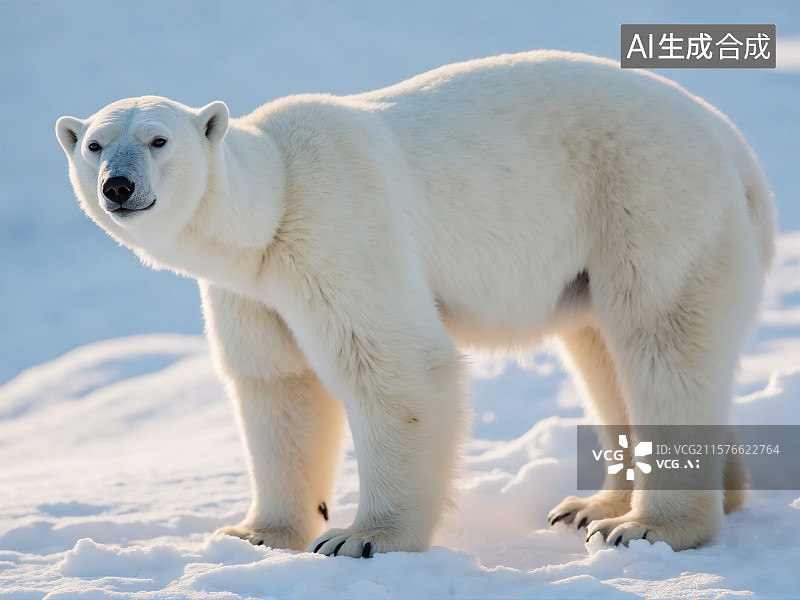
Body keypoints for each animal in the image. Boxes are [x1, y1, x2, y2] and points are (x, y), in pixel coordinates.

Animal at [56, 51, 775, 558]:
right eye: (93, 144)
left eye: (158, 140)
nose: (118, 186)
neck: (272, 207)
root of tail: (736, 148)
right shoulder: (250, 291)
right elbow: (277, 384)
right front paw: (256, 533)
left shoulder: (338, 230)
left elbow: (395, 368)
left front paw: (360, 538)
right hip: (595, 259)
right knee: (601, 352)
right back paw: (594, 507)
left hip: (651, 201)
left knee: (661, 340)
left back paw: (647, 525)